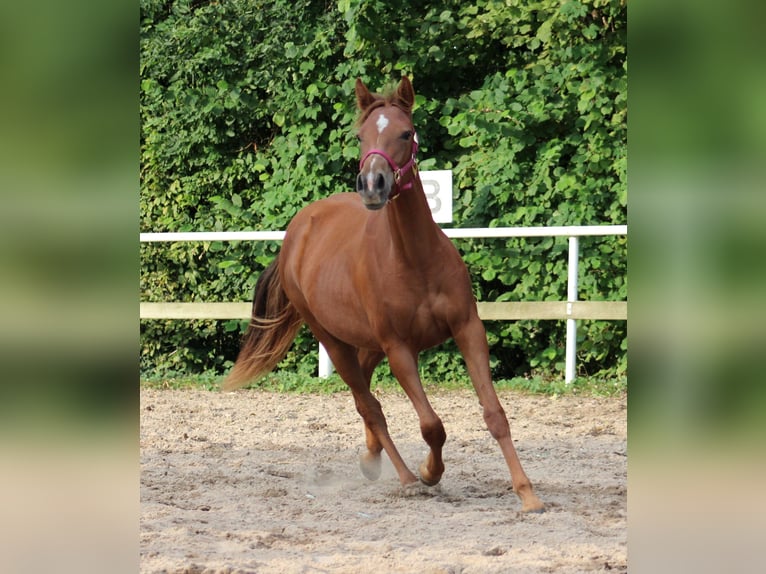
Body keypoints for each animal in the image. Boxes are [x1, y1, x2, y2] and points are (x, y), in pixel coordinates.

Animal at [224, 75, 544, 512]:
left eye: (406, 133)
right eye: (360, 136)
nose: (372, 185)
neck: (414, 259)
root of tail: (297, 231)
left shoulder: (468, 330)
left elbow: (494, 413)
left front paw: (527, 494)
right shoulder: (399, 349)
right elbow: (431, 425)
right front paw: (429, 472)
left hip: (368, 343)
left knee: (367, 394)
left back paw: (371, 457)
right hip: (334, 341)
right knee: (368, 405)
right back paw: (406, 477)